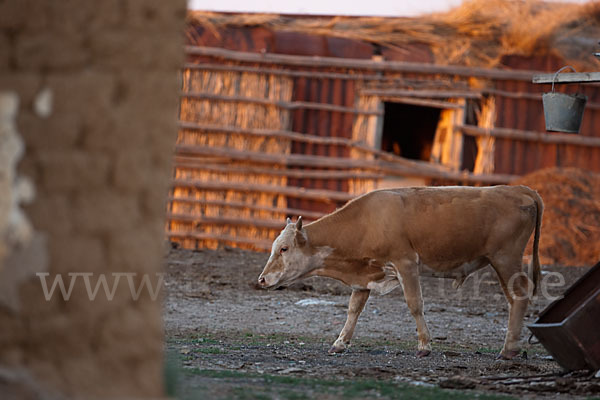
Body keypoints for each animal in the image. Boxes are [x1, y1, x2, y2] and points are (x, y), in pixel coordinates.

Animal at [258, 187, 544, 360]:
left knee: (519, 296)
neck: (367, 222)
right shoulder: (364, 277)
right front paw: (339, 342)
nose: (261, 279)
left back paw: (508, 349)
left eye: (284, 248)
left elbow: (415, 304)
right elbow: (353, 309)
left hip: (505, 259)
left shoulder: (405, 263)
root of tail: (518, 189)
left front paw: (425, 346)